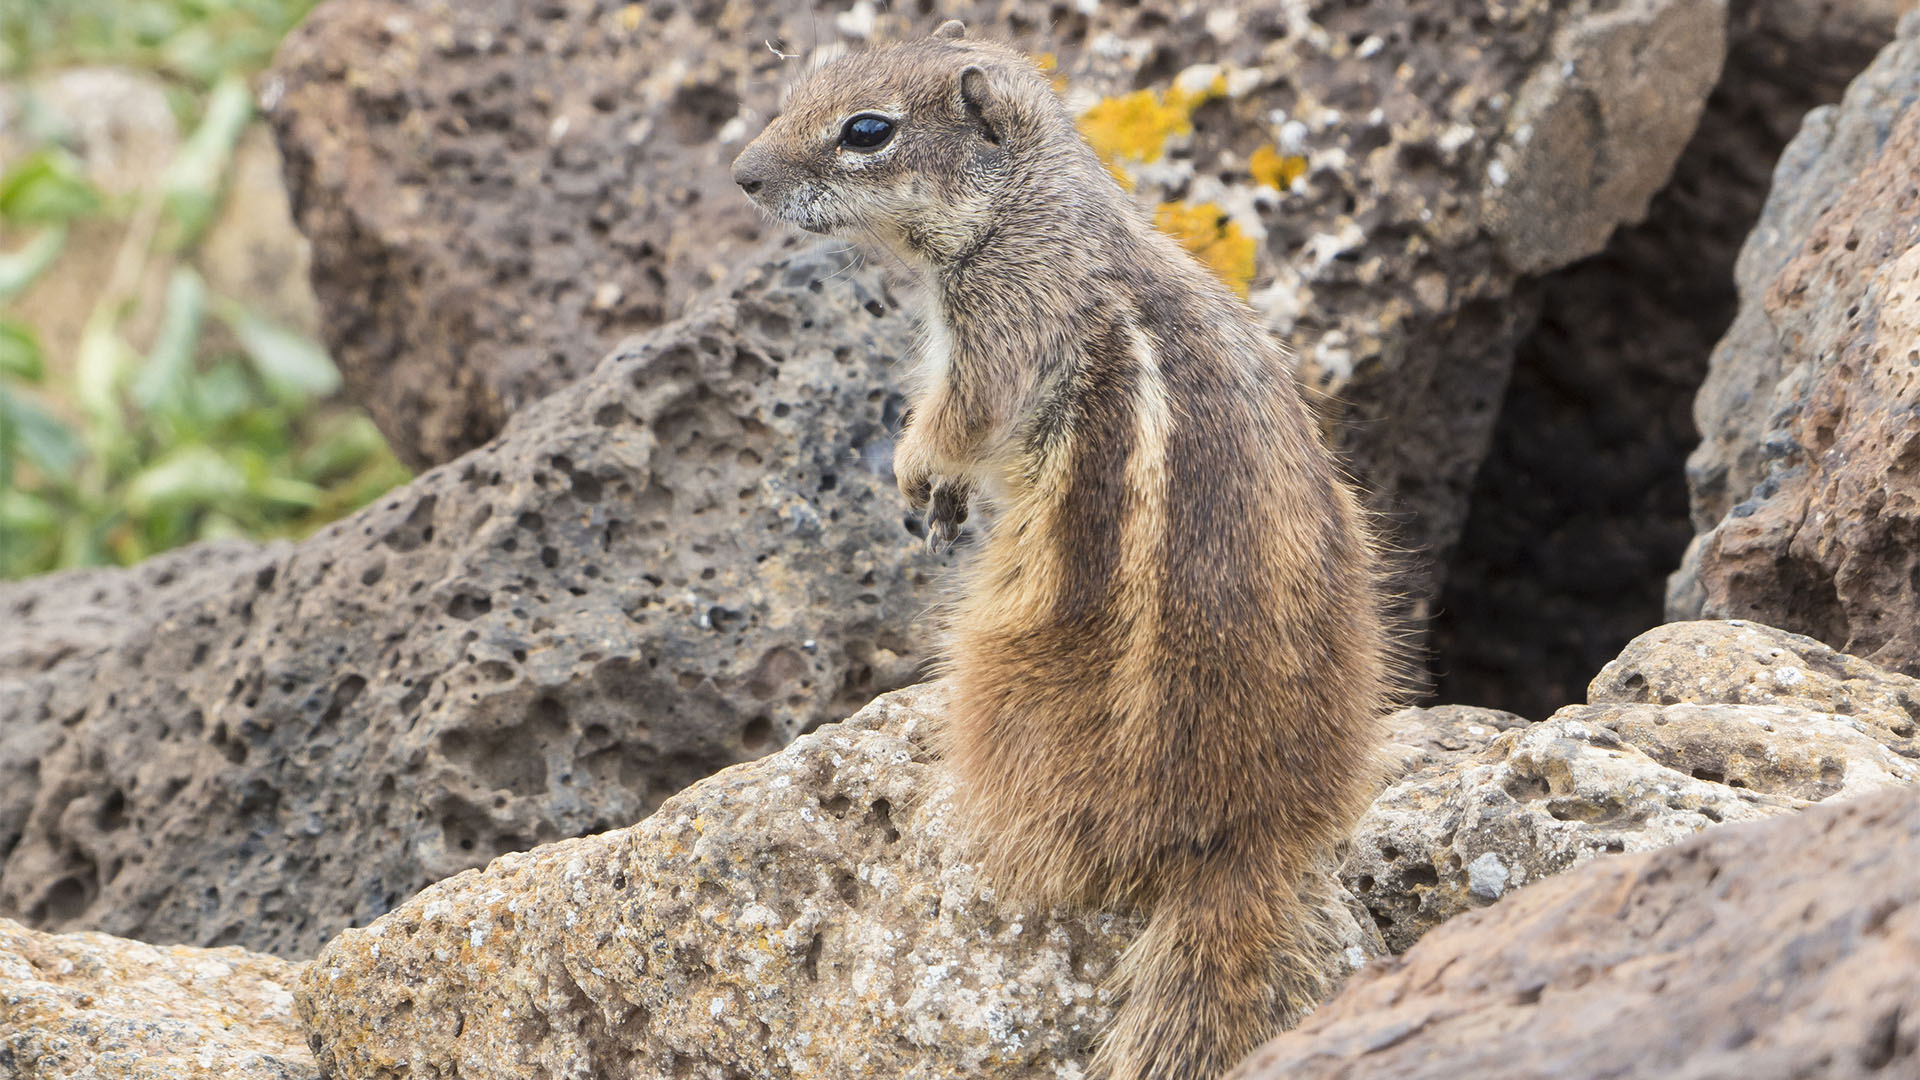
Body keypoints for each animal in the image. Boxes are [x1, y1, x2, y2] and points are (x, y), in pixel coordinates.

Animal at [733, 25, 1397, 1076]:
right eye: (800, 87)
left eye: (866, 131)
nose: (743, 175)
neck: (1031, 206)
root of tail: (1245, 838)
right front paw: (939, 500)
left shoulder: (1003, 323)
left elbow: (959, 418)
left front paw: (917, 472)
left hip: (1004, 674)